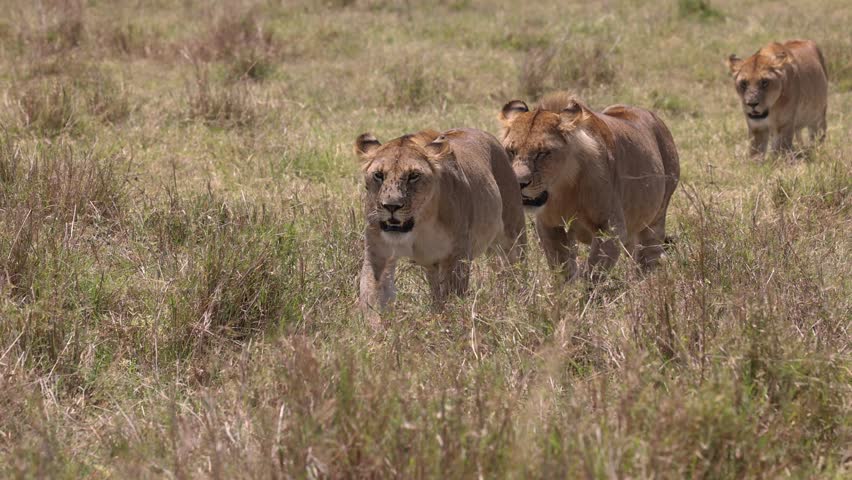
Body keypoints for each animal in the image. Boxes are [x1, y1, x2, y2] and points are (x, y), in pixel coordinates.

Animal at [354, 128, 526, 325]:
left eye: (413, 176)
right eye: (379, 175)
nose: (391, 206)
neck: (419, 224)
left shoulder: (457, 256)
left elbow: (453, 296)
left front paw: (451, 325)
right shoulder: (378, 255)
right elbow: (372, 298)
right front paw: (375, 331)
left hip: (514, 233)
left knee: (518, 269)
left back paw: (523, 302)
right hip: (433, 265)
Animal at [498, 91, 679, 280]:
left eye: (542, 153)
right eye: (512, 151)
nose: (519, 183)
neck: (563, 190)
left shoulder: (611, 229)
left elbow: (593, 273)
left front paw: (585, 287)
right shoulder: (550, 226)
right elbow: (562, 268)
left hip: (656, 217)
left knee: (648, 256)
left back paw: (643, 283)